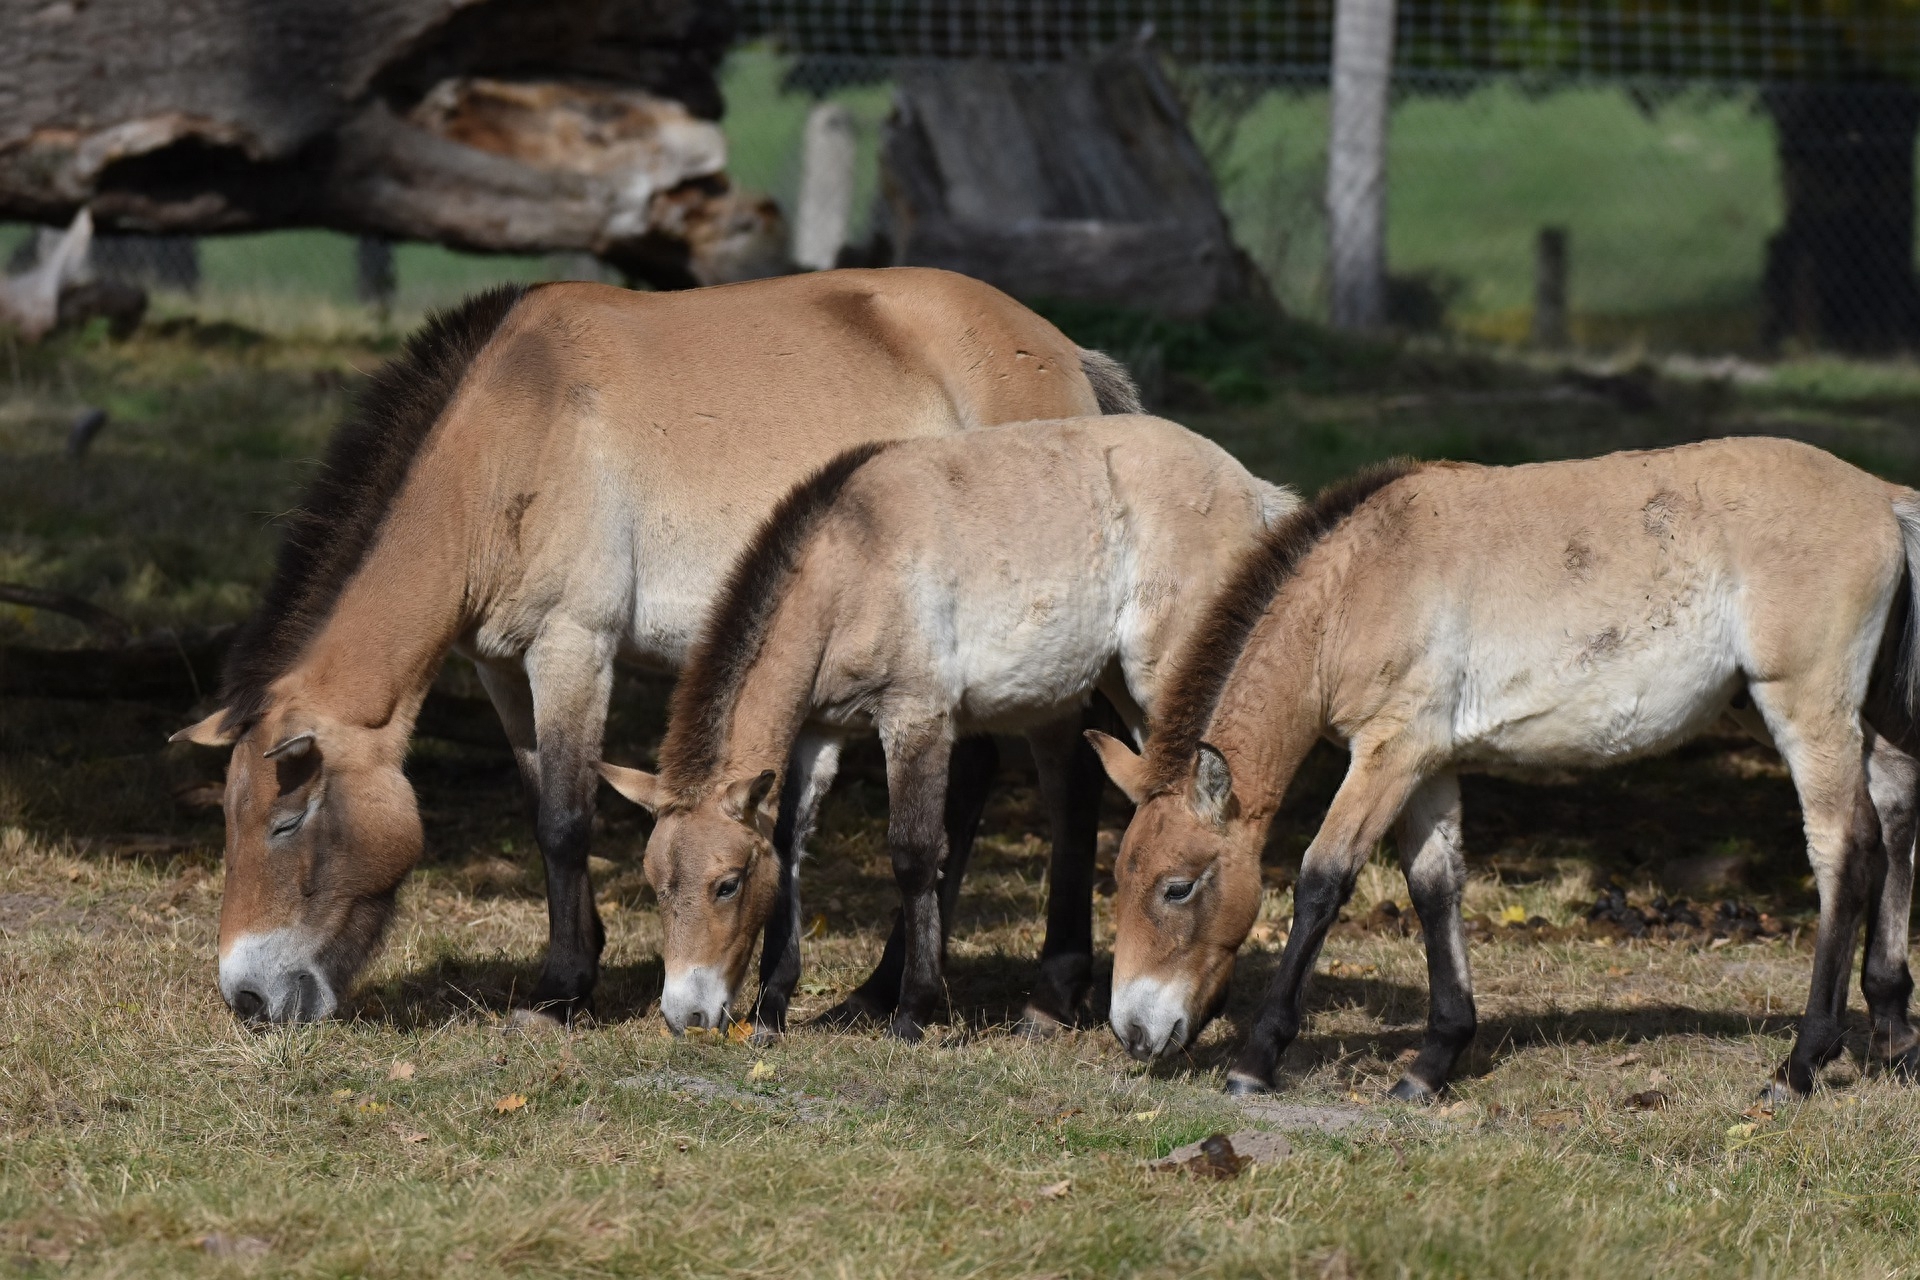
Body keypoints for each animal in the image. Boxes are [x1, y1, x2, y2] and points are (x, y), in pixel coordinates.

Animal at [168, 268, 1136, 1020]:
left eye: (286, 822)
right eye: (228, 821)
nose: (247, 997)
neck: (513, 437)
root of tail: (1062, 354)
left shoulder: (573, 648)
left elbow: (565, 818)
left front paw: (559, 992)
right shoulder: (502, 667)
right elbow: (539, 801)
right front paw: (583, 960)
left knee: (1068, 784)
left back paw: (1050, 993)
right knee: (970, 786)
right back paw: (878, 990)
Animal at [591, 418, 1297, 1043]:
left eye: (727, 885)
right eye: (656, 885)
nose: (686, 1016)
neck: (852, 562)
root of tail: (1253, 489)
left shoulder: (916, 716)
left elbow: (912, 853)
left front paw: (913, 1013)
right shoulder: (817, 734)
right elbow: (790, 846)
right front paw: (772, 1010)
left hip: (1162, 675)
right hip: (1125, 685)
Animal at [1090, 441, 1920, 1105]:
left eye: (1176, 888)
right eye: (1120, 879)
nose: (1134, 1031)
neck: (1363, 583)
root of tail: (1881, 494)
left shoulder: (1387, 753)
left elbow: (1322, 878)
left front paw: (1257, 1060)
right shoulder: (1425, 763)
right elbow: (1436, 888)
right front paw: (1431, 1064)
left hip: (1805, 708)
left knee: (1845, 852)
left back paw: (1802, 1065)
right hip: (1830, 712)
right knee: (1897, 805)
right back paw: (1892, 1032)